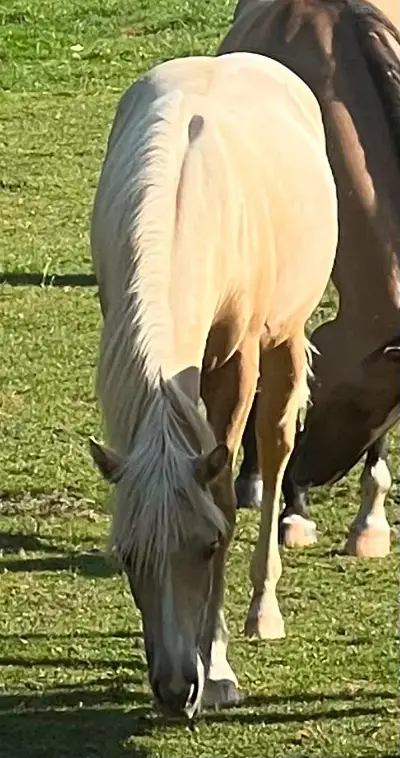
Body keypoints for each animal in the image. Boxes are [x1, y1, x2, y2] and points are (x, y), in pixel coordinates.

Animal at [89, 51, 338, 716]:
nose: (177, 690)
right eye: (128, 555)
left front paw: (220, 667)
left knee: (275, 452)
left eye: (207, 546)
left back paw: (263, 609)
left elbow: (226, 491)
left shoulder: (238, 360)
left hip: (284, 339)